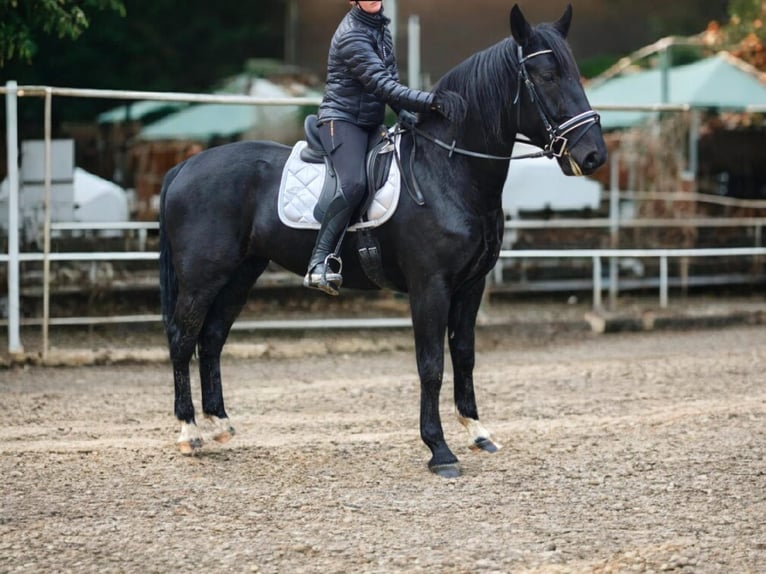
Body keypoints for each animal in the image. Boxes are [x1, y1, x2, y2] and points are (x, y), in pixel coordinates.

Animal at [159, 3, 606, 478]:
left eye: (575, 74)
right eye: (545, 75)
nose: (593, 154)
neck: (446, 171)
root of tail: (184, 167)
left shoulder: (471, 285)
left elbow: (464, 354)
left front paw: (478, 431)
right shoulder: (430, 287)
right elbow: (431, 364)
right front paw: (439, 451)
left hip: (242, 273)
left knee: (212, 337)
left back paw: (220, 424)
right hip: (203, 276)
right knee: (183, 337)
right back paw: (189, 432)